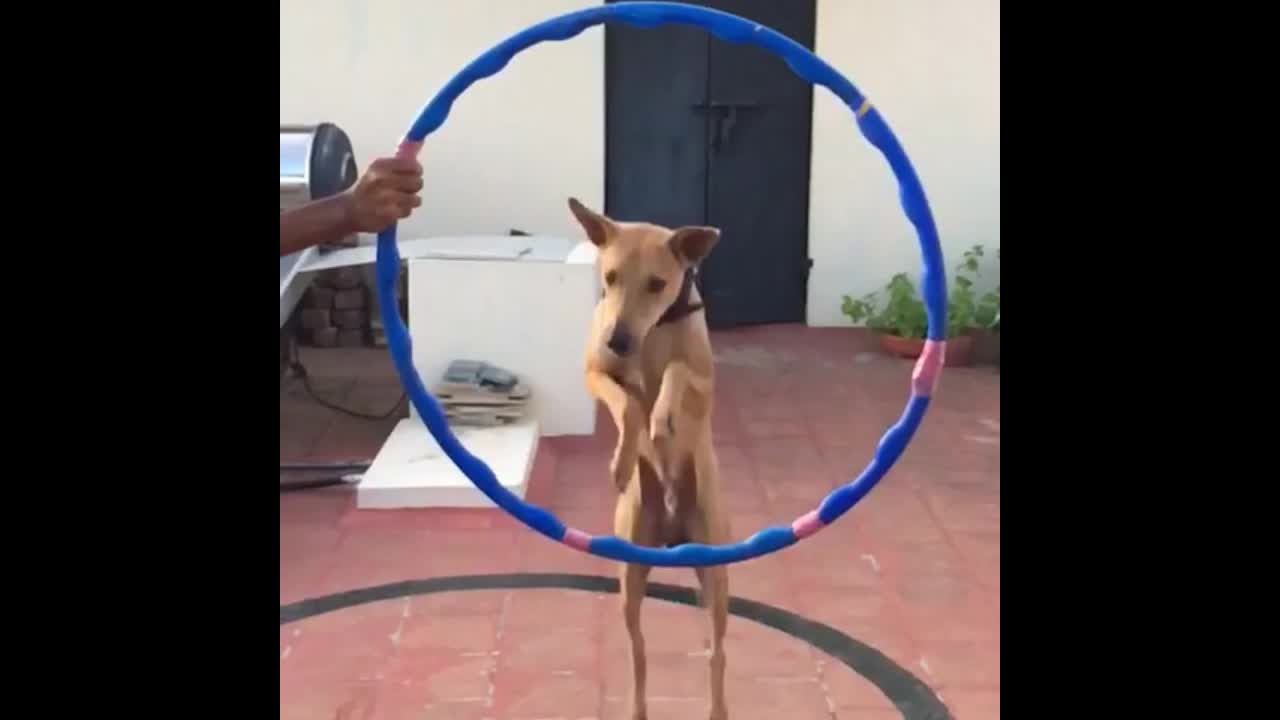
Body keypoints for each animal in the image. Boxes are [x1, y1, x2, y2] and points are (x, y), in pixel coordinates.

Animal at [570, 196, 732, 717]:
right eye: (610, 276)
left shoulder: (705, 388)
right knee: (638, 652)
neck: (653, 332)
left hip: (716, 574)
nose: (618, 340)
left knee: (717, 653)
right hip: (630, 577)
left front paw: (662, 420)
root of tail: (671, 533)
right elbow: (627, 402)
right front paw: (625, 457)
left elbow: (677, 374)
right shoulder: (596, 372)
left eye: (658, 284)